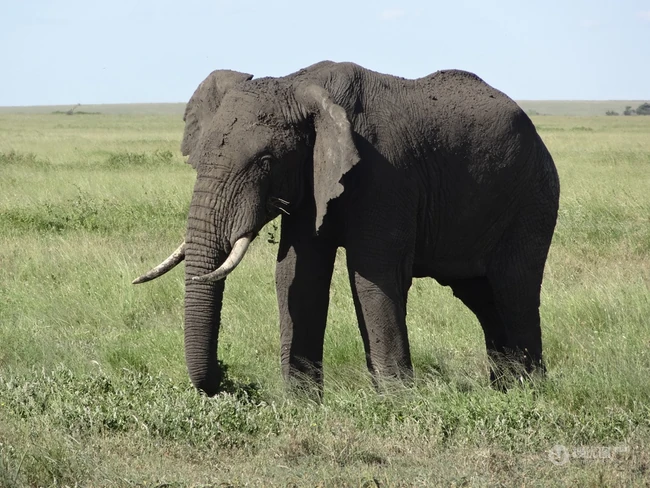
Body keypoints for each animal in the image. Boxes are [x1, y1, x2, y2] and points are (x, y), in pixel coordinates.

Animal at [133, 61, 560, 396]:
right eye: (199, 159)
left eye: (266, 162)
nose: (226, 379)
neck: (299, 86)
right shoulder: (311, 179)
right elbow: (297, 274)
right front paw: (301, 402)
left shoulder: (386, 171)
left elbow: (374, 275)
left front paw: (397, 402)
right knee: (483, 297)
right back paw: (504, 390)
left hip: (532, 197)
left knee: (514, 290)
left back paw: (529, 392)